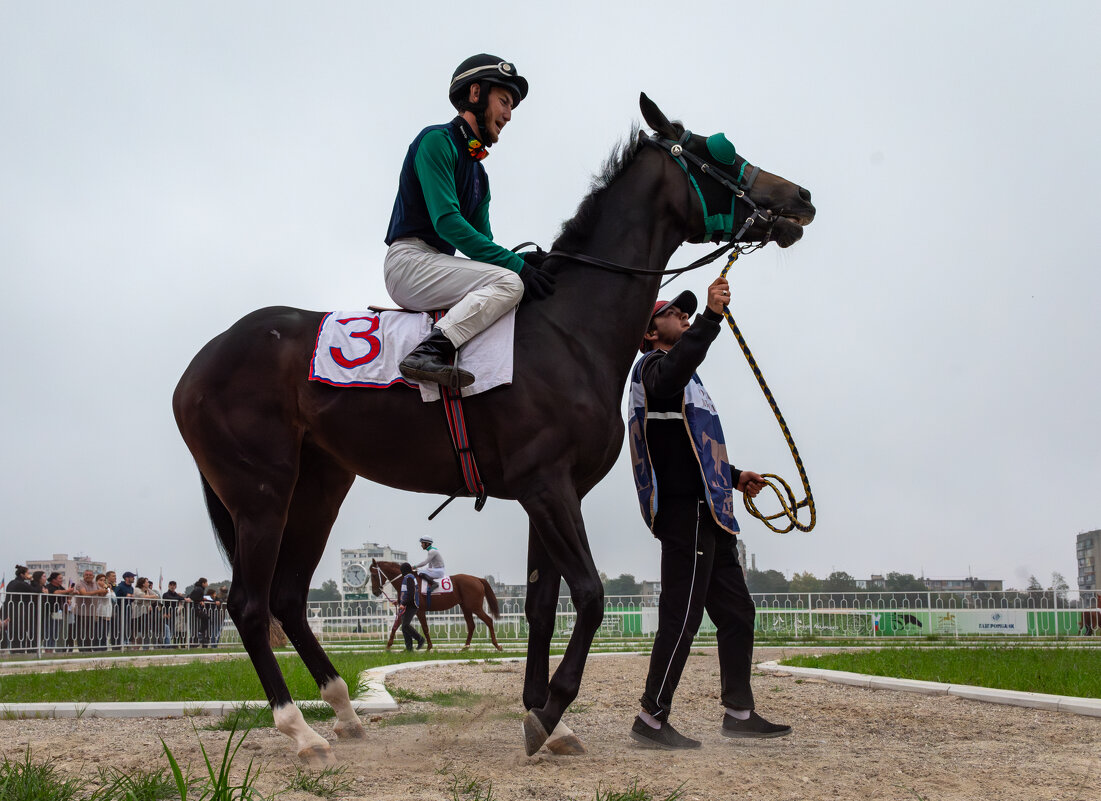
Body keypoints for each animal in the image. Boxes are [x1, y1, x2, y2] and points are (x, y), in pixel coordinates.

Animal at [372, 561, 504, 655]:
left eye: (373, 575)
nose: (375, 592)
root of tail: (478, 579)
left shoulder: (419, 610)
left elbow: (425, 628)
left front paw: (428, 647)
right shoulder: (404, 609)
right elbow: (395, 627)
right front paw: (388, 647)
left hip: (475, 607)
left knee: (488, 620)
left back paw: (497, 645)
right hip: (465, 607)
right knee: (471, 625)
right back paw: (465, 647)